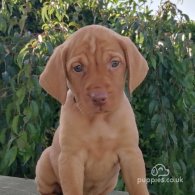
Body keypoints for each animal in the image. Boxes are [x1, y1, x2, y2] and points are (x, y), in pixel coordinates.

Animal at [35, 24, 149, 195]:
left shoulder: (131, 153)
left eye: (114, 63)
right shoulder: (71, 159)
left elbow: (139, 188)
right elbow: (73, 189)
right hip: (44, 162)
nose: (99, 97)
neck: (99, 120)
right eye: (77, 68)